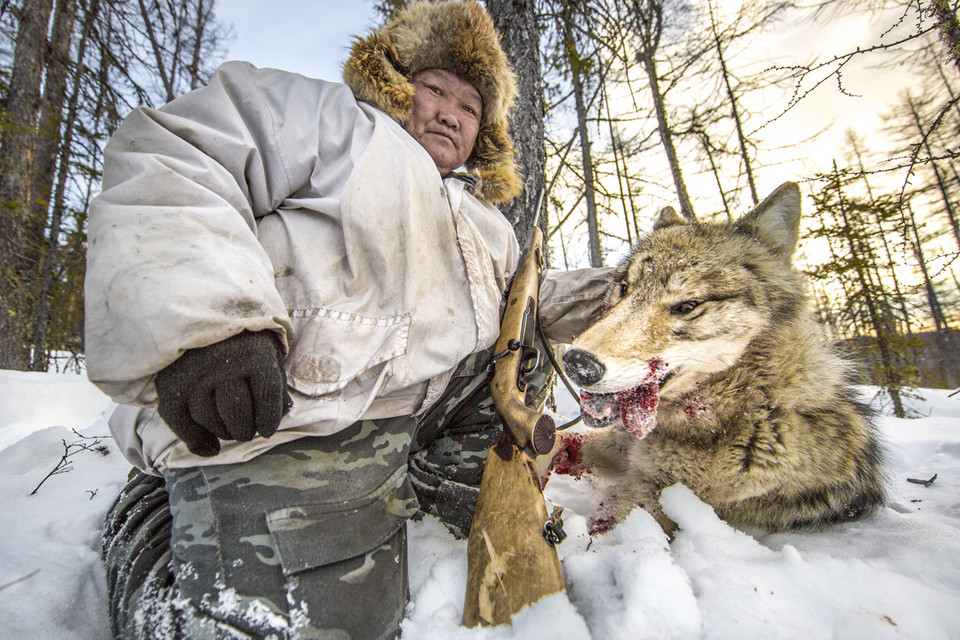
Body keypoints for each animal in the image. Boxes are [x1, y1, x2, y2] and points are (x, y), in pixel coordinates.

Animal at [548, 181, 884, 536]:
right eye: (624, 289)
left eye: (687, 305)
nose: (577, 363)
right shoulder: (621, 447)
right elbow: (567, 441)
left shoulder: (656, 500)